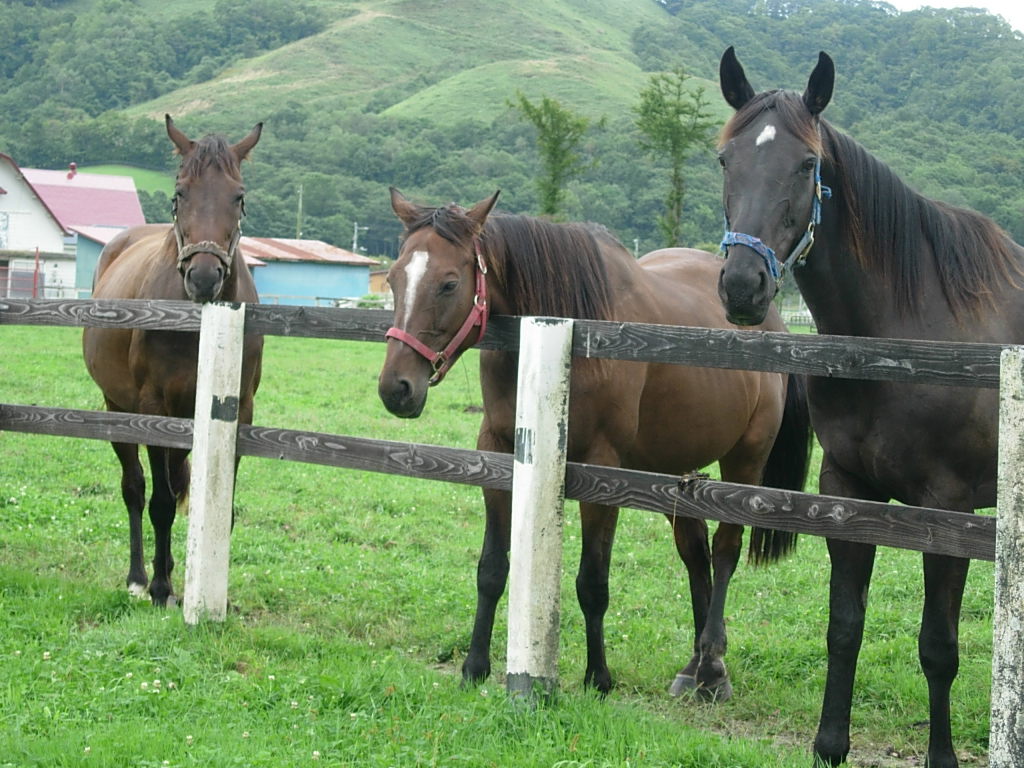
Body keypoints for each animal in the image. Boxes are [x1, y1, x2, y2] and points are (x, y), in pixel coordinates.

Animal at [82, 115, 264, 606]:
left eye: (238, 196)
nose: (203, 276)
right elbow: (161, 503)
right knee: (135, 488)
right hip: (119, 409)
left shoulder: (238, 412)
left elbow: (222, 508)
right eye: (179, 193)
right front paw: (162, 588)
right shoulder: (154, 408)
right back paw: (140, 576)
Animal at [376, 189, 806, 700]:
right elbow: (491, 569)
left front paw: (598, 676)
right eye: (394, 278)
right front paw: (474, 666)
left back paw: (715, 669)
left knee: (724, 552)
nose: (396, 388)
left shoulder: (602, 474)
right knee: (695, 555)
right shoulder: (498, 455)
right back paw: (695, 665)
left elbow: (592, 583)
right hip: (671, 471)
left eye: (448, 284)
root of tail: (773, 322)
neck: (569, 330)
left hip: (744, 460)